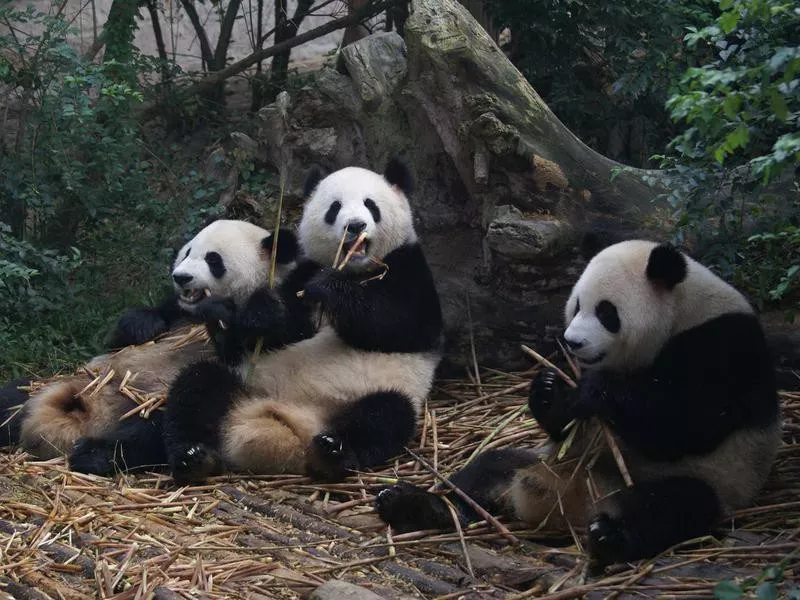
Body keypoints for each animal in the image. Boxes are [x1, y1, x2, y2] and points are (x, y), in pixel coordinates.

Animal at [0, 218, 298, 476]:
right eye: (188, 251)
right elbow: (124, 337)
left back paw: (100, 454)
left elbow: (246, 343)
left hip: (147, 404)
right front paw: (144, 325)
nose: (181, 277)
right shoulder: (176, 311)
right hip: (58, 382)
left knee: (165, 419)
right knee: (13, 396)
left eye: (213, 259)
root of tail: (91, 415)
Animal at [162, 158, 444, 482]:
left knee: (385, 416)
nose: (355, 226)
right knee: (196, 386)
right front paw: (256, 313)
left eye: (370, 205)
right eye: (334, 208)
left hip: (379, 392)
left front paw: (330, 288)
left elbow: (404, 325)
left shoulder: (410, 268)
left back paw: (333, 451)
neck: (355, 269)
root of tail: (288, 427)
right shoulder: (300, 273)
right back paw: (194, 458)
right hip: (245, 384)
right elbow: (280, 332)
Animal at [376, 240, 780, 568]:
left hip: (711, 480)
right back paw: (416, 504)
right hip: (545, 461)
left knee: (671, 506)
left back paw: (609, 537)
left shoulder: (722, 345)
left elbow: (684, 423)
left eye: (606, 312)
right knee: (487, 469)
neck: (681, 313)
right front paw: (549, 389)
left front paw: (594, 391)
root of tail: (575, 505)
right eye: (576, 305)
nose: (572, 342)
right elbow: (563, 425)